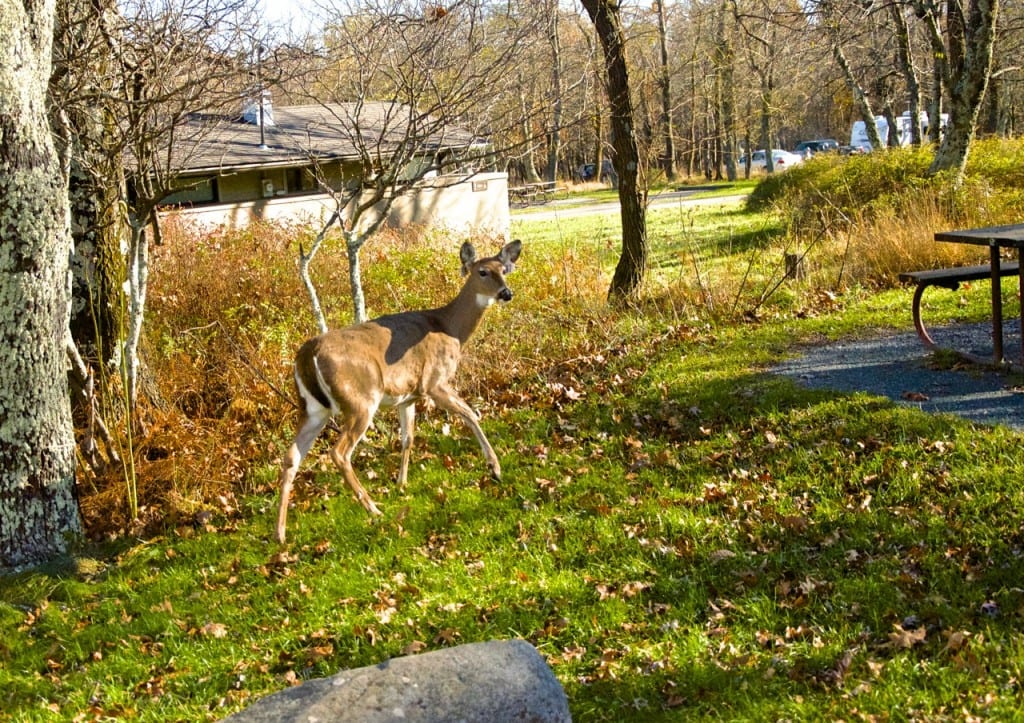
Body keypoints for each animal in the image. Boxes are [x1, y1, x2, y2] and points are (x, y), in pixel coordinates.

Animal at [274, 237, 520, 540]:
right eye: (482, 272)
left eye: (504, 270)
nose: (506, 293)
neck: (451, 328)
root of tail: (309, 354)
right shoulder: (434, 381)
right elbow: (471, 414)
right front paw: (495, 468)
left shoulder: (408, 396)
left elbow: (408, 438)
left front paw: (401, 484)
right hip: (361, 400)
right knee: (339, 453)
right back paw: (373, 510)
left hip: (313, 408)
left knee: (291, 457)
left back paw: (280, 534)